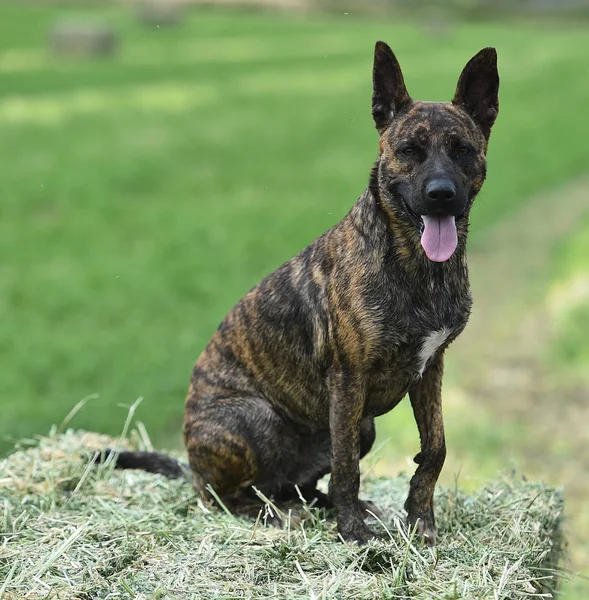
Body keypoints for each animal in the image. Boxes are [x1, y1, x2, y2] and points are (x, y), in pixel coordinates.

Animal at [108, 43, 498, 544]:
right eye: (409, 150)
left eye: (462, 150)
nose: (441, 194)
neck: (413, 264)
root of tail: (192, 467)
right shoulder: (348, 380)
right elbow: (347, 469)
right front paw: (353, 534)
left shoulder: (430, 369)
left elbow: (435, 448)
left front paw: (419, 520)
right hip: (259, 420)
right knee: (228, 497)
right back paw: (279, 514)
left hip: (359, 426)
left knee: (301, 485)